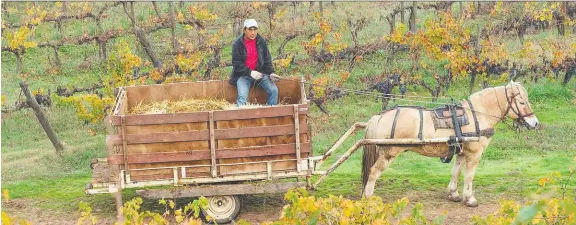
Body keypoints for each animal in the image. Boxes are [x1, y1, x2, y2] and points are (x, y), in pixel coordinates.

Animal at [362, 81, 536, 207]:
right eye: (522, 102)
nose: (535, 123)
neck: (476, 115)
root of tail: (378, 116)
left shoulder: (461, 152)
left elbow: (456, 172)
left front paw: (454, 194)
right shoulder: (474, 154)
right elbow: (469, 176)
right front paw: (470, 198)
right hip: (388, 153)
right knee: (373, 172)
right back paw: (368, 198)